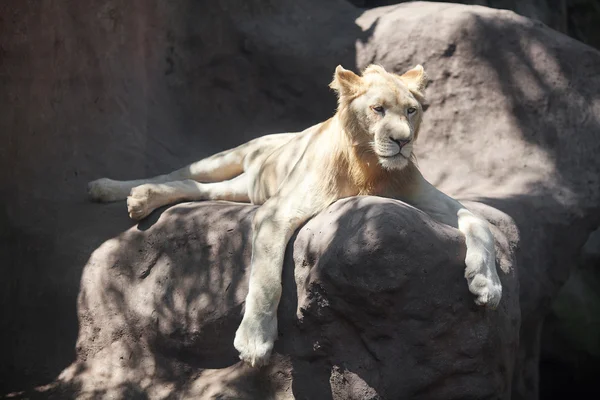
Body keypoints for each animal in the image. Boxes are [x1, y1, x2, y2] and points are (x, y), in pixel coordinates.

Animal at [89, 64, 502, 368]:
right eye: (378, 109)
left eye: (411, 111)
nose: (402, 141)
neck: (370, 167)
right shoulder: (277, 211)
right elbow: (267, 278)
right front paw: (255, 341)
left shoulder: (426, 197)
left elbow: (479, 221)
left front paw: (486, 284)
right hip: (231, 159)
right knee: (180, 171)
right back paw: (110, 188)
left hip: (245, 188)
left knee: (195, 188)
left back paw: (142, 199)